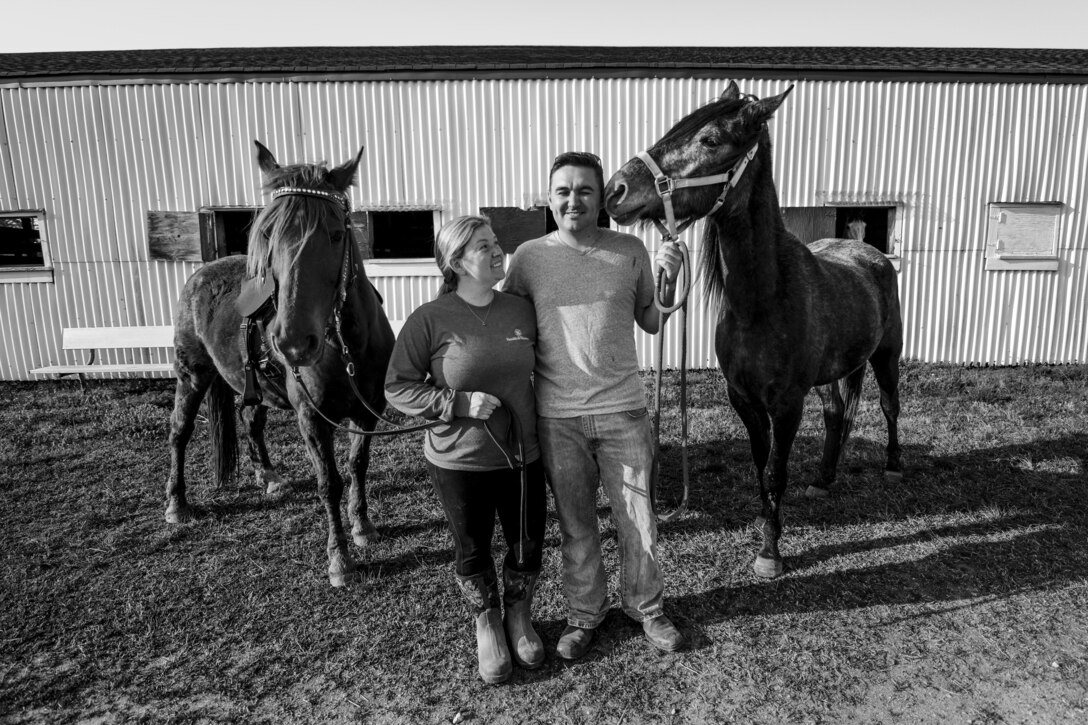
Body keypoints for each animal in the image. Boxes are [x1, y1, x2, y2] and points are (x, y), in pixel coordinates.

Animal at [164, 141, 396, 587]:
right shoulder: (312, 418)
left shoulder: (369, 411)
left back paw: (267, 476)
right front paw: (339, 559)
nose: (291, 342)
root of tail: (200, 274)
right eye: (267, 234)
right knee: (180, 432)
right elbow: (329, 482)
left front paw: (362, 527)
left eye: (336, 233)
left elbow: (357, 466)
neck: (347, 347)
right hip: (192, 376)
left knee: (250, 418)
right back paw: (176, 504)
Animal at [604, 81, 903, 579]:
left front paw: (770, 553)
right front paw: (769, 533)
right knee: (836, 413)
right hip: (832, 375)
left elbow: (776, 472)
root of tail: (870, 253)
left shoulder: (786, 405)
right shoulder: (744, 400)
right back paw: (823, 479)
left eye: (709, 139)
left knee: (889, 406)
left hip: (887, 356)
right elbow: (762, 467)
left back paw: (894, 466)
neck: (763, 302)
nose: (616, 189)